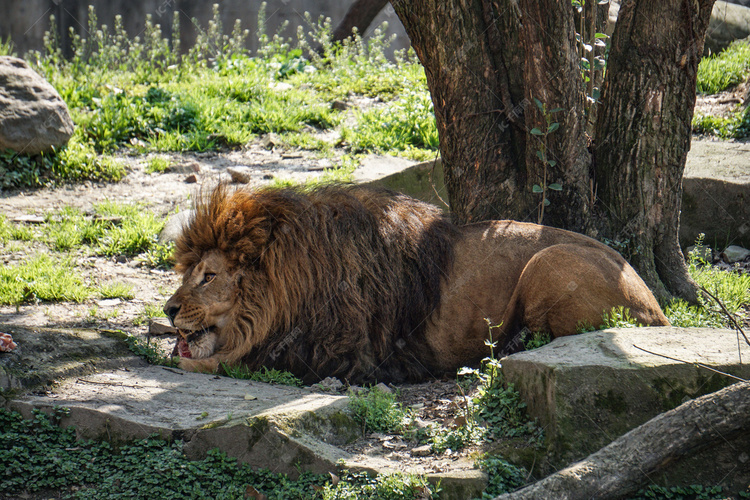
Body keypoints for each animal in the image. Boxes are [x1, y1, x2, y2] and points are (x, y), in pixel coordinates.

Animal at [164, 184, 668, 382]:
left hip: (547, 260)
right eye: (186, 274)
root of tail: (657, 306)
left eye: (209, 276)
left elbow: (224, 362)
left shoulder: (336, 355)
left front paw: (181, 361)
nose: (168, 310)